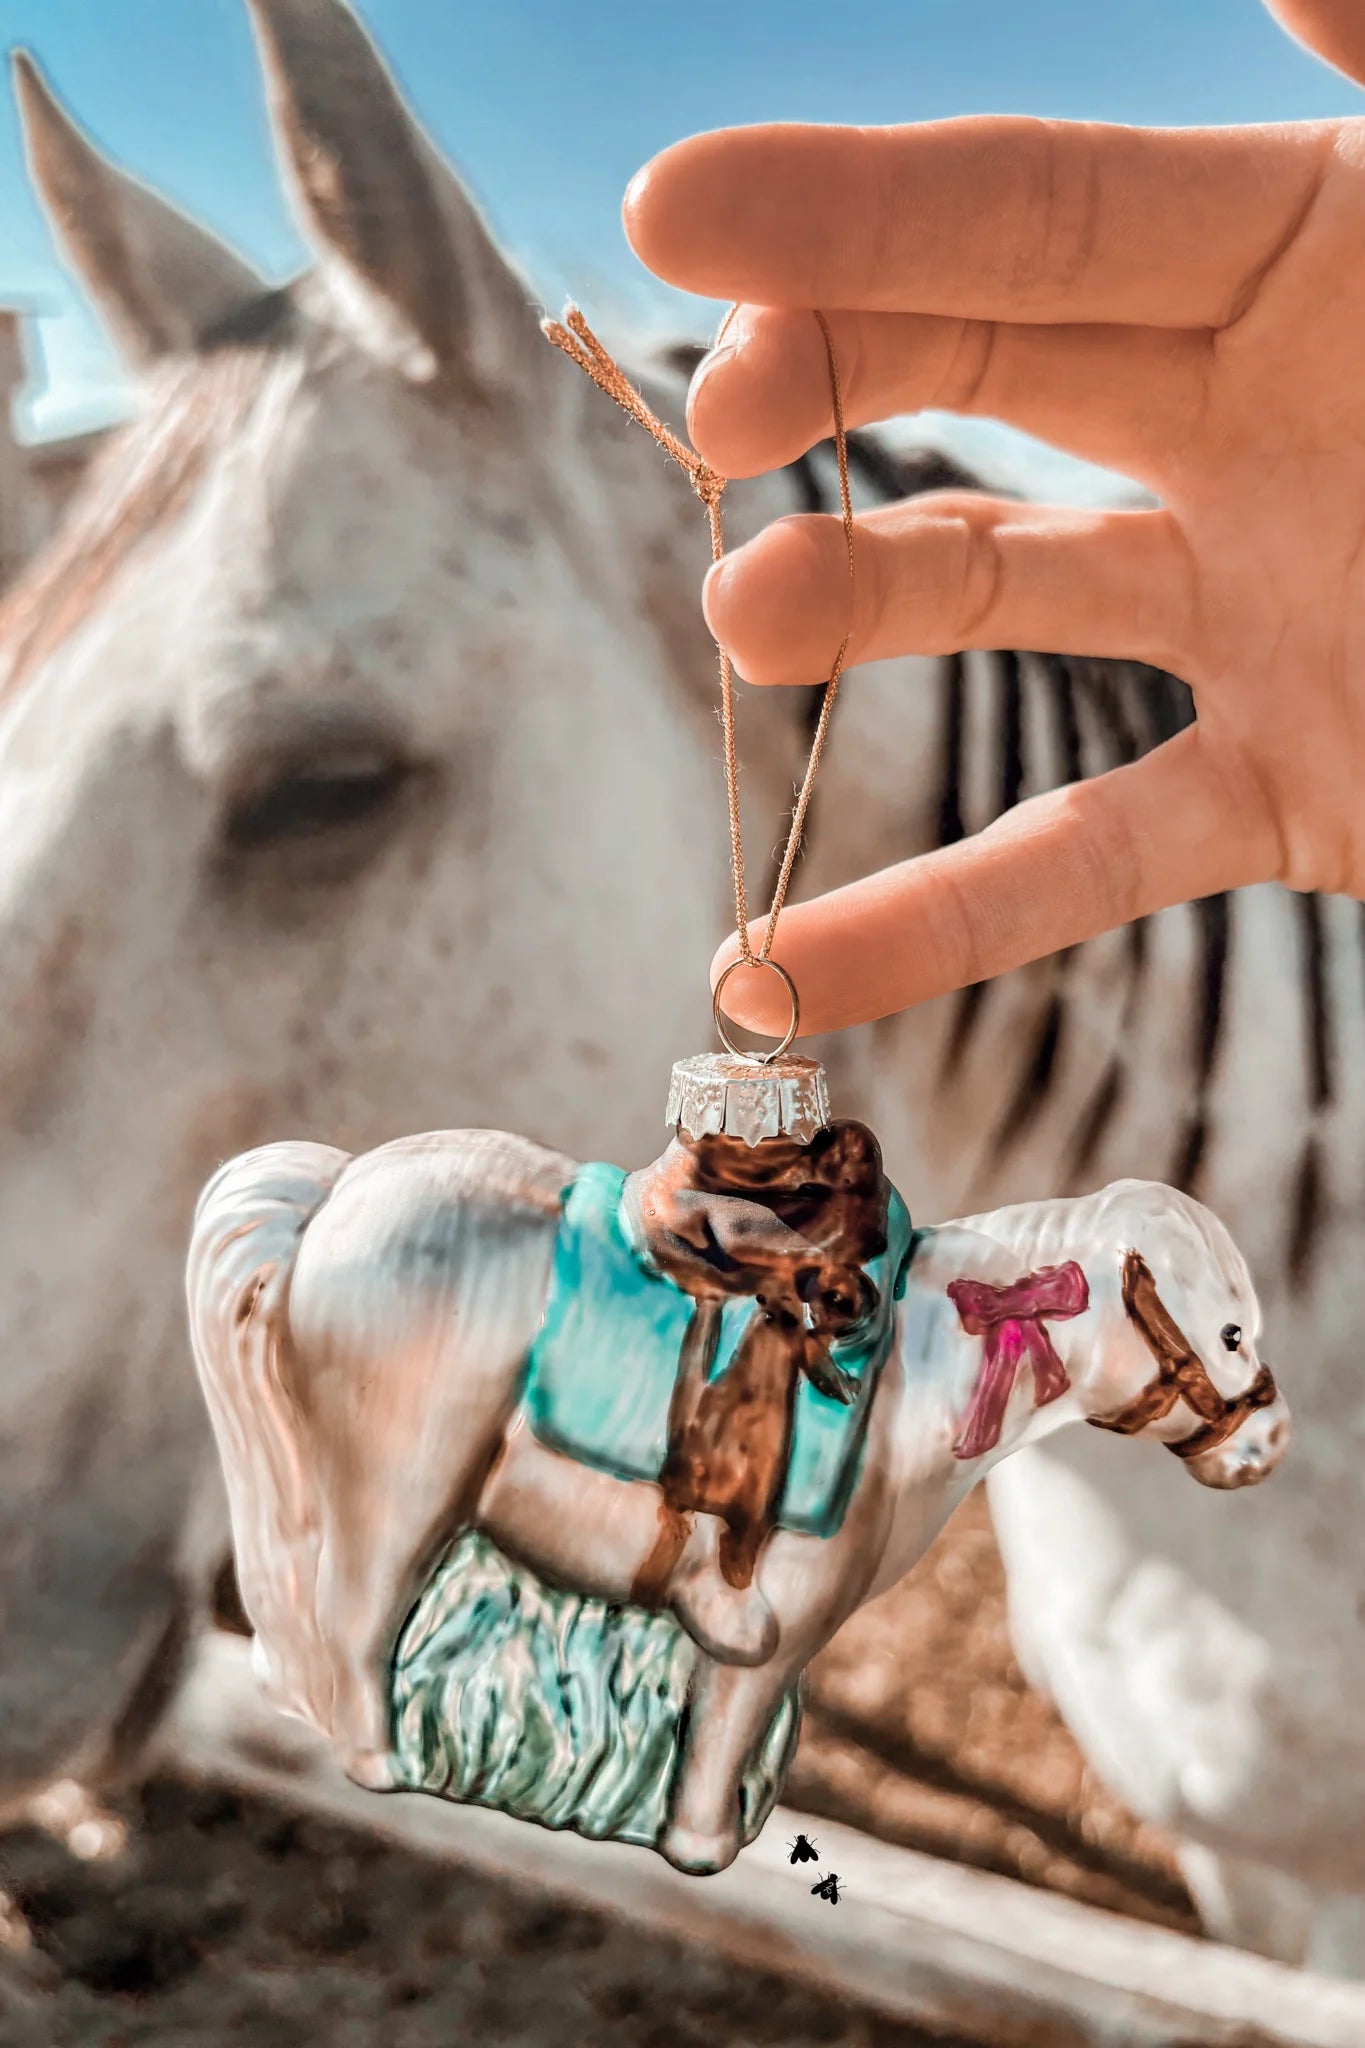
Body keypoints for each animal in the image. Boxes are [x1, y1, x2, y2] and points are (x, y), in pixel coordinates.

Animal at [187, 1130, 1285, 1875]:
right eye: (1232, 1332)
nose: (1267, 1446)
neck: (918, 1379)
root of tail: (333, 1195)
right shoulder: (774, 1634)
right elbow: (719, 1736)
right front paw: (702, 1849)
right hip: (402, 1489)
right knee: (353, 1622)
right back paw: (383, 1762)